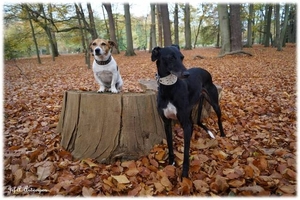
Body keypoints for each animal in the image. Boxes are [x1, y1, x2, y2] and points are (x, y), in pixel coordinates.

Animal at [151, 45, 224, 178]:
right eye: (170, 58)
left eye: (182, 57)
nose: (187, 74)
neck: (169, 89)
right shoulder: (167, 123)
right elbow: (170, 145)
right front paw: (171, 163)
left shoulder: (184, 122)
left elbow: (185, 153)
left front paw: (184, 173)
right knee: (192, 126)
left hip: (214, 102)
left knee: (219, 118)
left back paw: (222, 134)